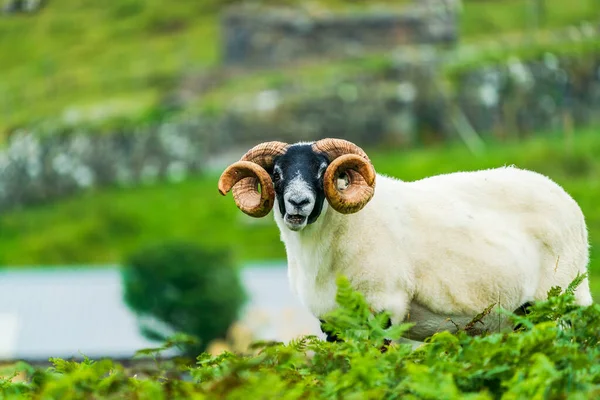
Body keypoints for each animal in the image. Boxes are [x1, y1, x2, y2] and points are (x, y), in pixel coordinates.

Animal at [218, 139, 592, 342]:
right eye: (276, 173)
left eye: (323, 170)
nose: (298, 203)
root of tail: (568, 200)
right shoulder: (331, 322)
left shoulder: (386, 308)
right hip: (520, 317)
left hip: (560, 299)